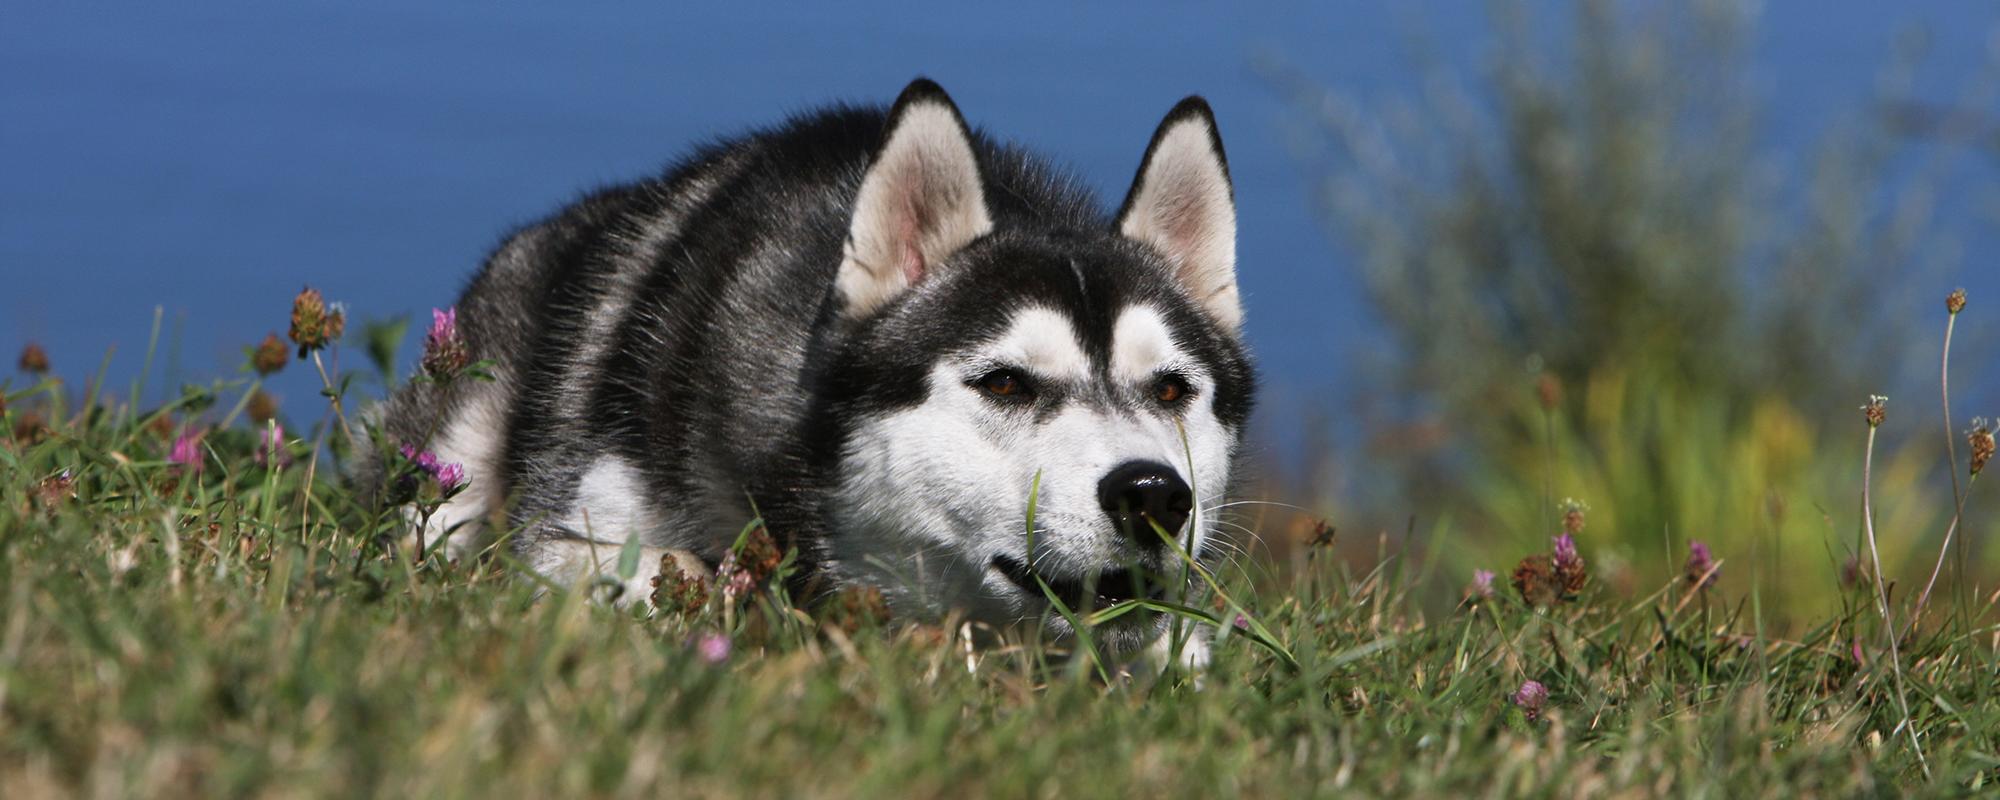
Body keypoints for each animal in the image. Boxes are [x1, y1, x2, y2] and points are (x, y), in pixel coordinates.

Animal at [370, 79, 1256, 656]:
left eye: (1171, 390)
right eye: (1005, 382)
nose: (1153, 495)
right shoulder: (569, 538)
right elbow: (675, 573)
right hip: (449, 465)